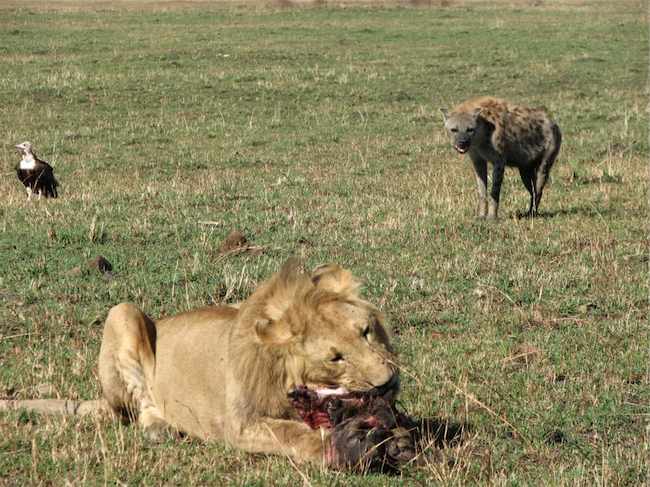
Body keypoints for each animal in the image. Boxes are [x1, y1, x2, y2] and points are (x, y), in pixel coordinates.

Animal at [1, 260, 399, 467]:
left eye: (366, 332)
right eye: (335, 358)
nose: (388, 382)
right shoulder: (240, 424)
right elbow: (290, 432)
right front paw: (344, 446)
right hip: (123, 312)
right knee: (138, 407)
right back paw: (159, 428)